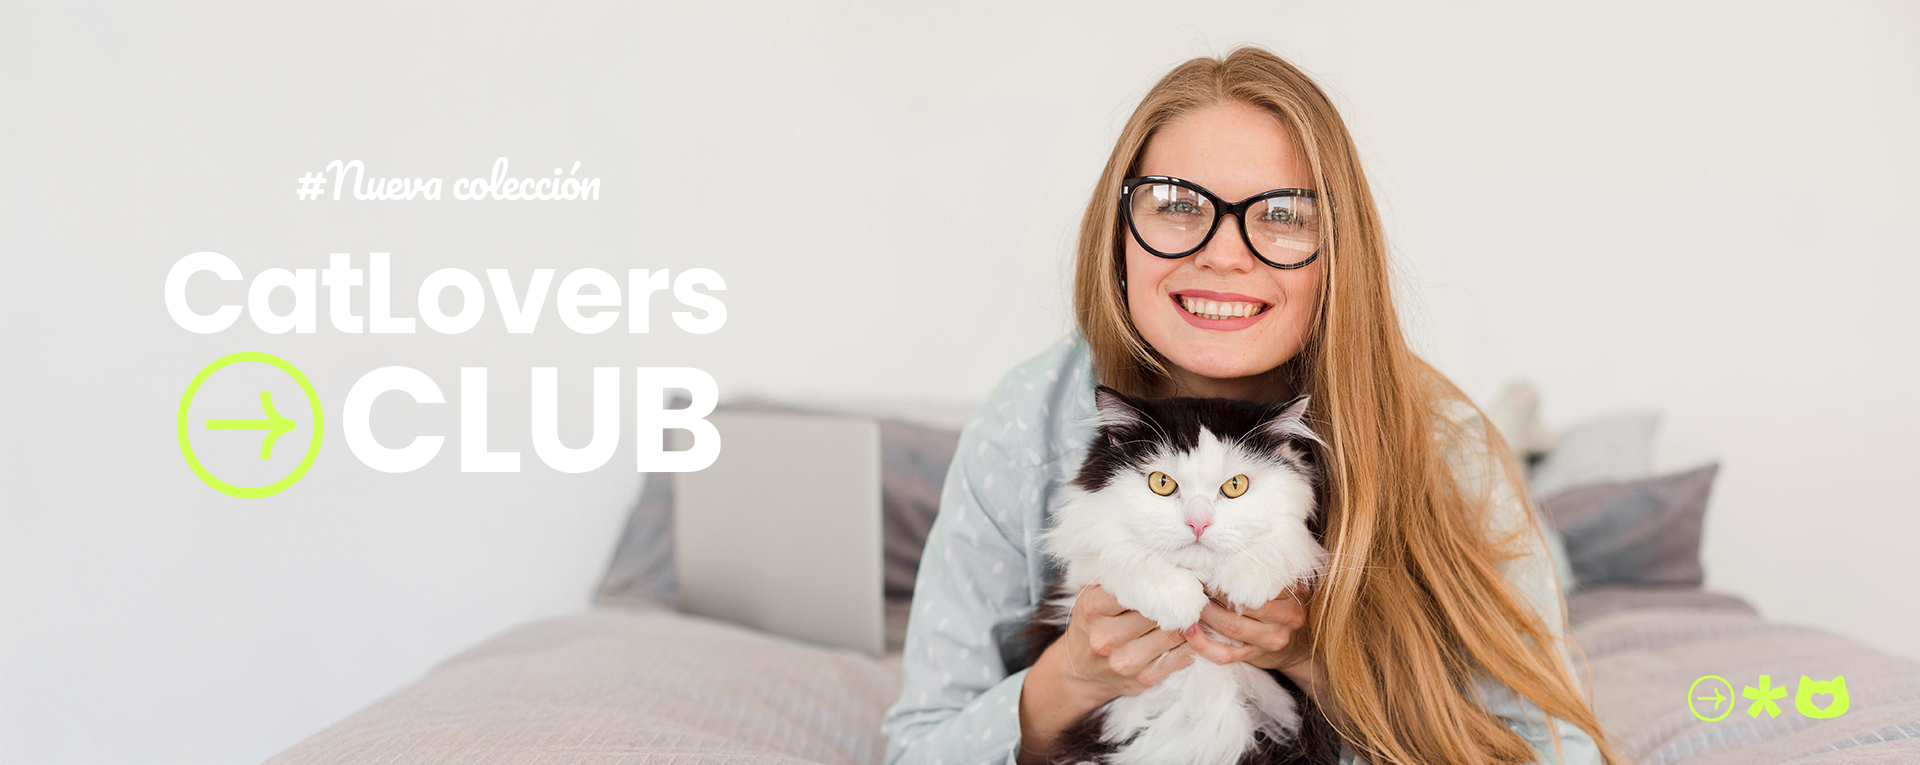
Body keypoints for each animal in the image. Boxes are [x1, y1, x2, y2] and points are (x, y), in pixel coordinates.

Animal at [1036, 388, 1336, 765]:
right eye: (1162, 483)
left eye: (1235, 485)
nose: (1198, 523)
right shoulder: (1083, 564)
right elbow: (1122, 554)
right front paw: (1178, 600)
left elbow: (1287, 542)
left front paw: (1248, 581)